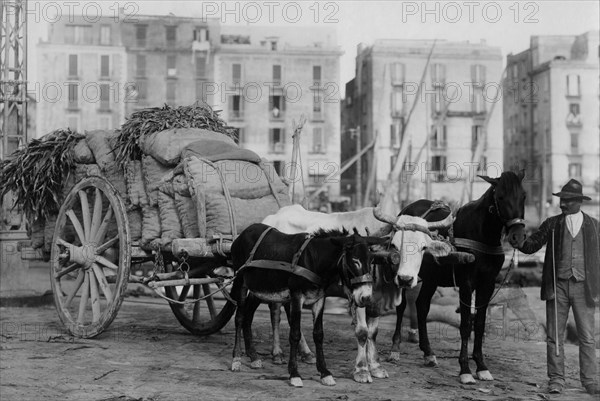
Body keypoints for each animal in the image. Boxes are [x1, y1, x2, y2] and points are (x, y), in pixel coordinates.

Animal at [230, 223, 380, 386]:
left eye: (371, 261)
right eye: (355, 260)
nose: (366, 298)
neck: (314, 260)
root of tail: (246, 230)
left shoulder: (319, 299)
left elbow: (319, 334)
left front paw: (325, 373)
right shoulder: (297, 297)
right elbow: (295, 333)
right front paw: (294, 374)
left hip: (260, 288)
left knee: (248, 316)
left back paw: (253, 357)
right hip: (240, 282)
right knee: (239, 318)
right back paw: (236, 359)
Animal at [394, 172, 524, 384]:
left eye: (523, 196)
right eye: (500, 197)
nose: (517, 237)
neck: (481, 235)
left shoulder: (487, 283)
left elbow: (479, 323)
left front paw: (481, 366)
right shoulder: (466, 282)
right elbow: (465, 324)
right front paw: (465, 370)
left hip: (431, 277)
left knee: (422, 306)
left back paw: (428, 353)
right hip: (403, 272)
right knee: (402, 306)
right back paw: (395, 349)